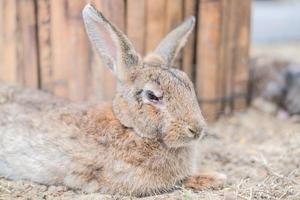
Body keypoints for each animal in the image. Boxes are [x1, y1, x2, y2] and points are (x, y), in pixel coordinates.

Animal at [0, 3, 225, 197]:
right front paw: (216, 177)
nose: (197, 130)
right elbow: (181, 180)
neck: (130, 128)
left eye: (188, 85)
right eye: (152, 96)